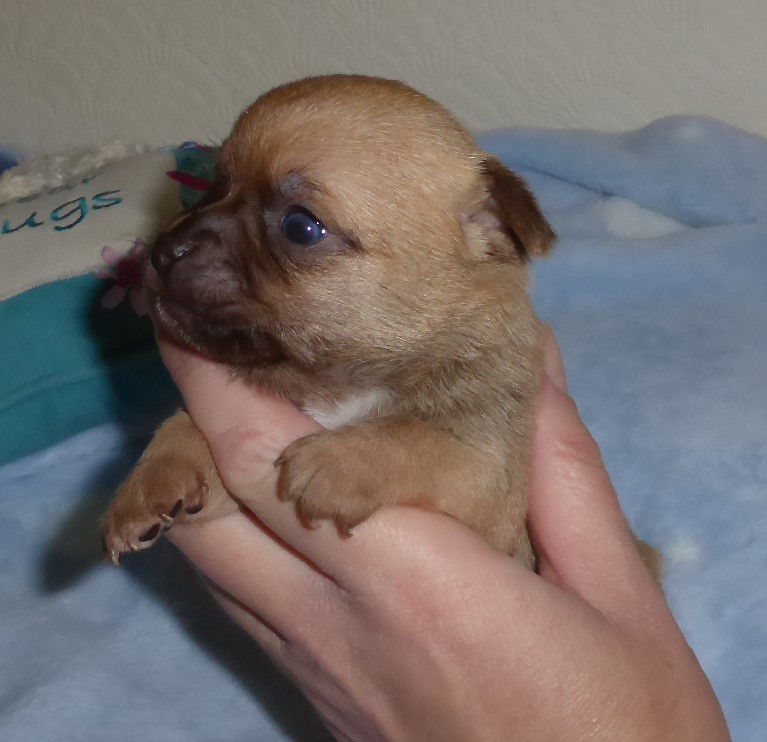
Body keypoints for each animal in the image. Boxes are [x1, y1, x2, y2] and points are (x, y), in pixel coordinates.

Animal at [102, 74, 570, 571]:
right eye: (215, 186)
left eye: (301, 227)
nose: (163, 251)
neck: (342, 384)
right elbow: (180, 424)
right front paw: (153, 478)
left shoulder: (487, 476)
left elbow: (419, 440)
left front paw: (336, 462)